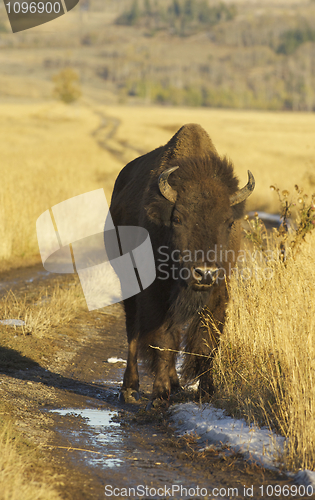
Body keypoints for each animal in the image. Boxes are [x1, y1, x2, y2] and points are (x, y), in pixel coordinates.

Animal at [107, 123, 256, 404]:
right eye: (178, 218)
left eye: (229, 221)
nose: (204, 273)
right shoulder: (155, 292)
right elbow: (164, 341)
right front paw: (159, 394)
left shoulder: (219, 291)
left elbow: (207, 342)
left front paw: (207, 391)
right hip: (127, 281)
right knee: (132, 331)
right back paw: (130, 388)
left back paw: (174, 385)